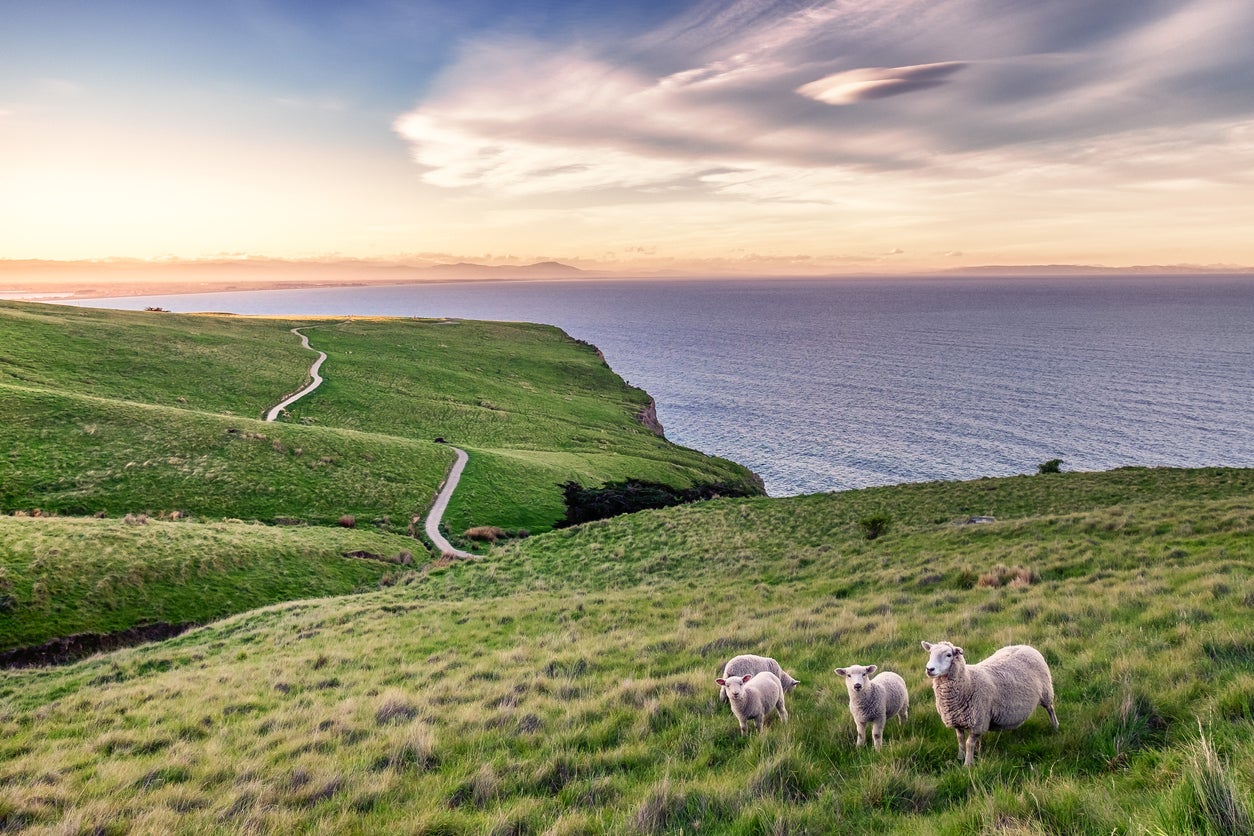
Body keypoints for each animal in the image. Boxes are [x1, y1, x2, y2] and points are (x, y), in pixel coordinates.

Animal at [922, 641, 1058, 767]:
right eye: (930, 653)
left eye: (949, 655)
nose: (929, 669)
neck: (968, 682)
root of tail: (1026, 646)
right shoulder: (957, 720)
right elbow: (960, 740)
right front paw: (960, 757)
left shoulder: (978, 722)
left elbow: (969, 743)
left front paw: (967, 764)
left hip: (1046, 692)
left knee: (1050, 708)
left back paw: (1055, 726)